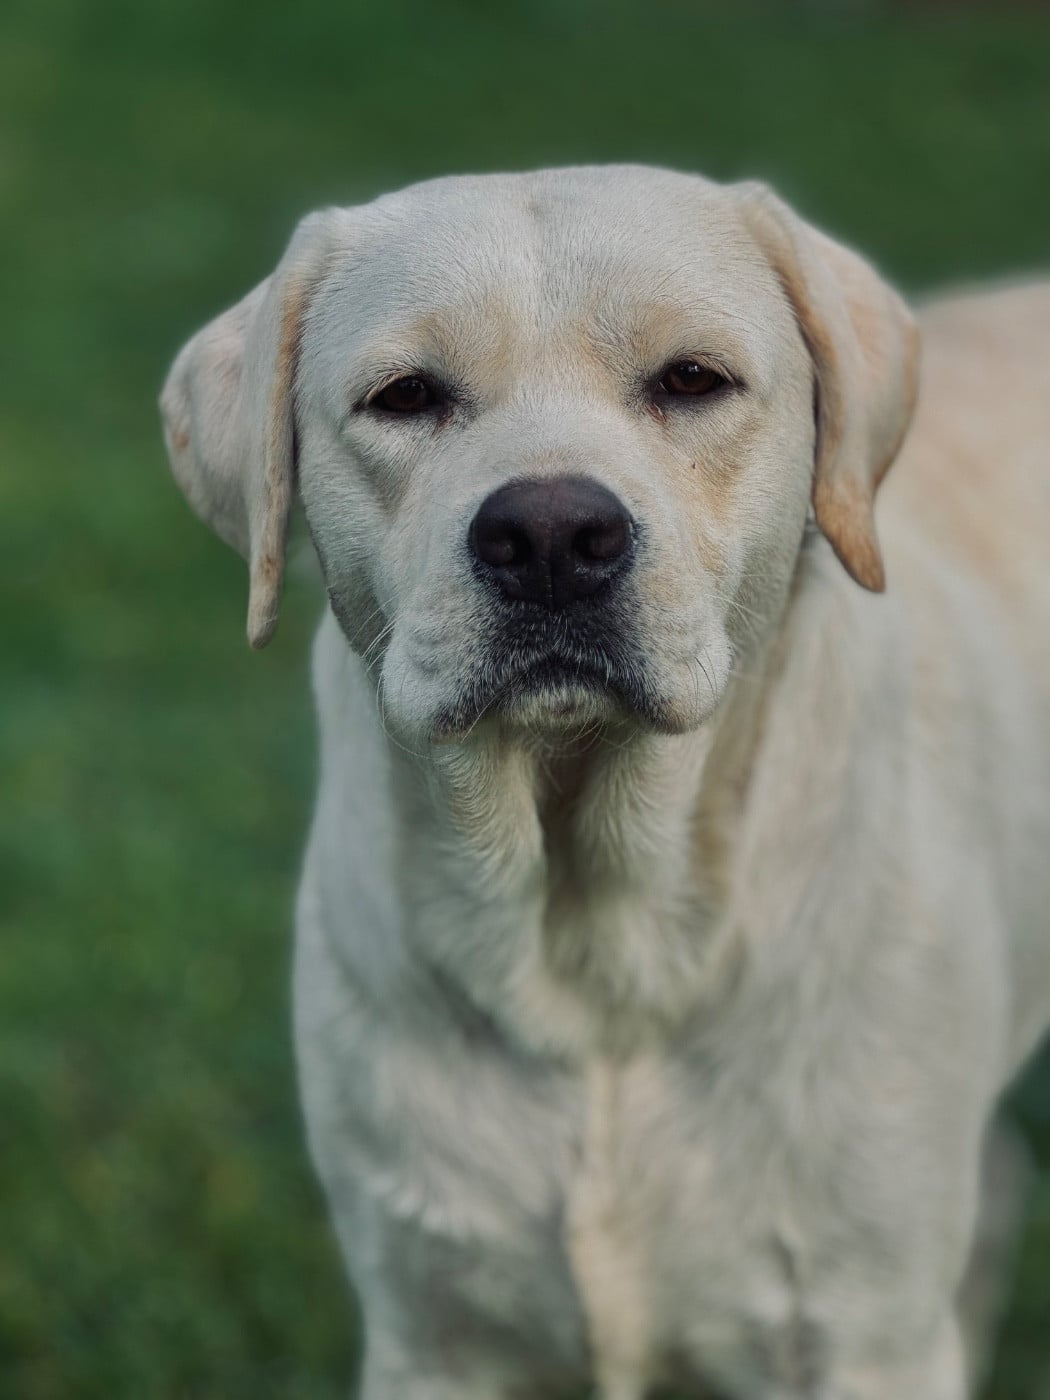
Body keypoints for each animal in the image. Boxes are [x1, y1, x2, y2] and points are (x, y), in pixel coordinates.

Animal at [161, 166, 1050, 1400]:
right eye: (405, 396)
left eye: (692, 379)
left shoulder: (862, 1330)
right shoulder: (432, 1331)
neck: (593, 940)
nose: (548, 533)